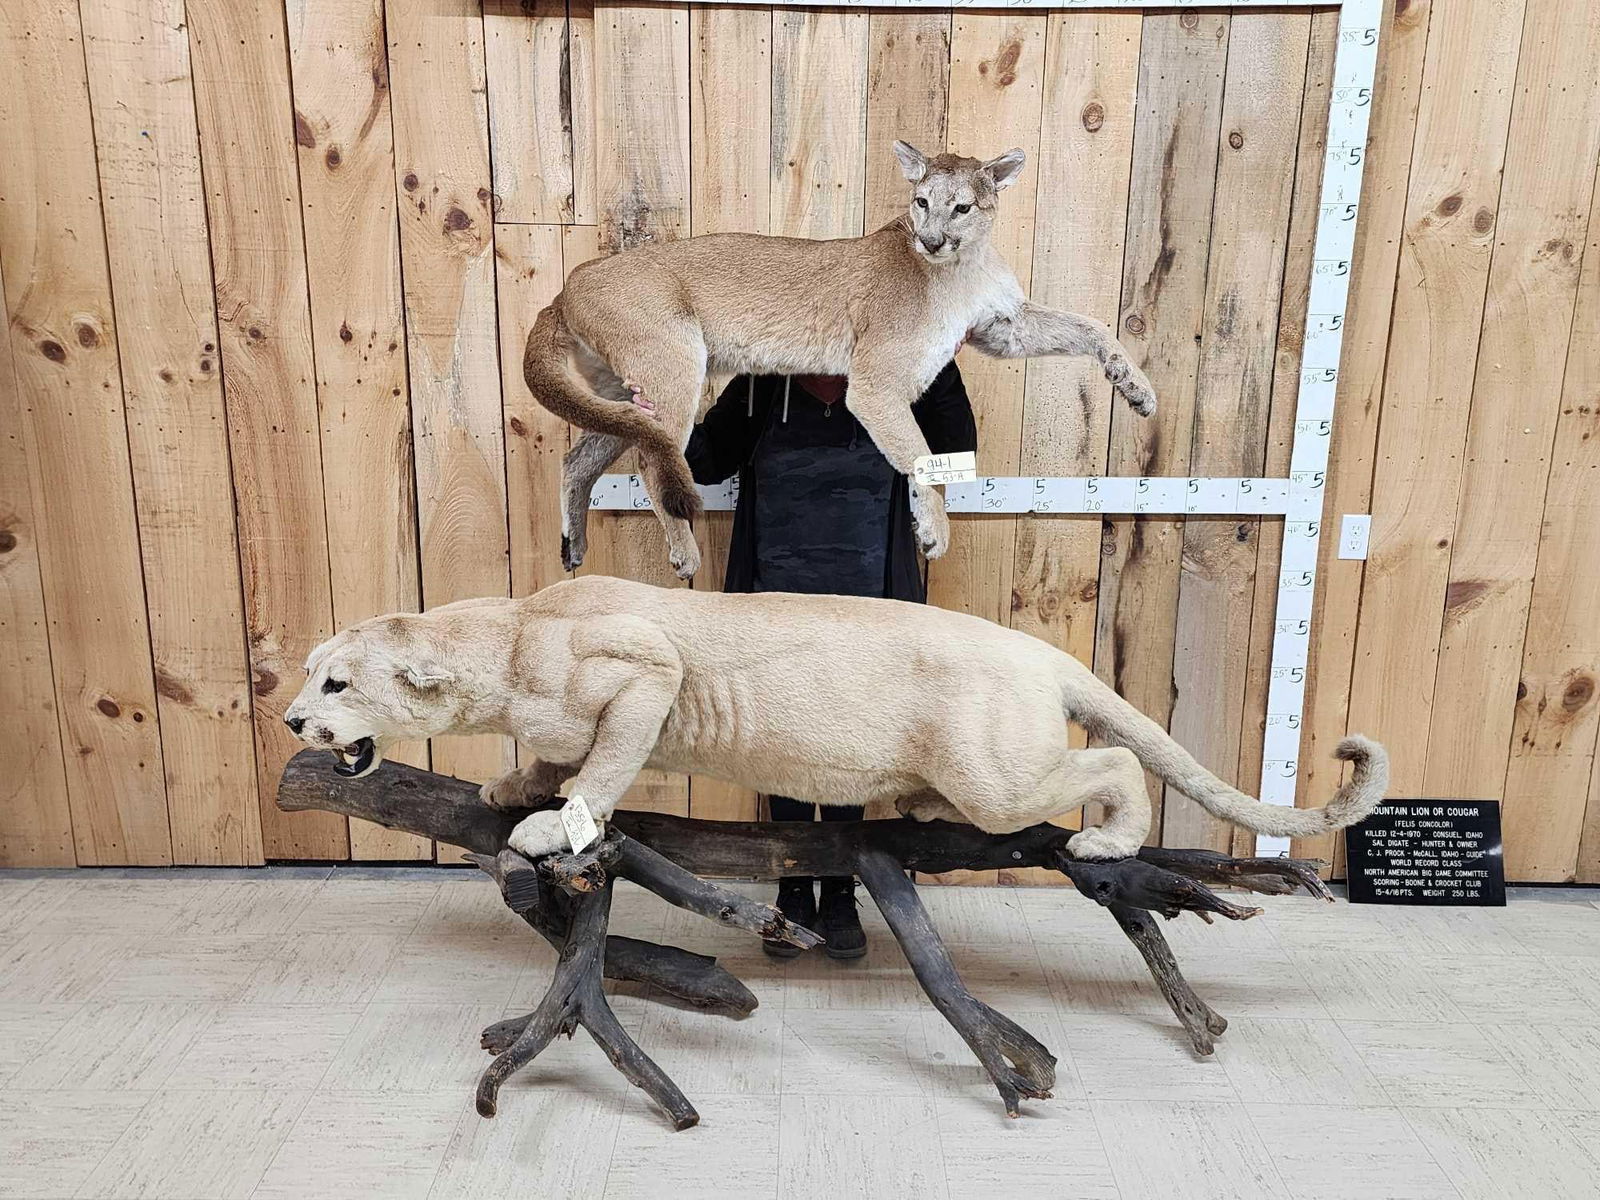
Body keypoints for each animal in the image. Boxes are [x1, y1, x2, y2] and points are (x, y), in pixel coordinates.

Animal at [282, 576, 1388, 862]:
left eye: (335, 683)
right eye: (305, 675)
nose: (292, 722)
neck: (511, 634)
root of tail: (1045, 651)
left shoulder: (647, 669)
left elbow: (601, 769)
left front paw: (559, 825)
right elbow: (553, 757)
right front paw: (516, 783)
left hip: (996, 774)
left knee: (1111, 760)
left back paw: (1112, 842)